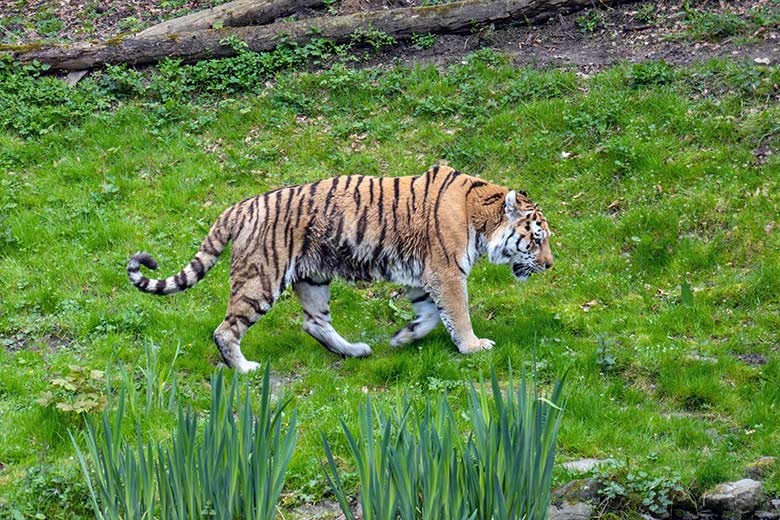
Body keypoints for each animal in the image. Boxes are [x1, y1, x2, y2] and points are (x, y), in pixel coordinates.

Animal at [126, 165, 556, 372]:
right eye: (537, 238)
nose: (551, 264)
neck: (481, 217)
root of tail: (240, 205)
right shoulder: (446, 273)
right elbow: (458, 314)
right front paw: (473, 347)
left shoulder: (423, 276)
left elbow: (431, 315)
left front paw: (405, 337)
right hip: (261, 278)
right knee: (225, 330)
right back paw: (244, 368)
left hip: (313, 277)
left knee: (314, 323)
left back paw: (354, 351)